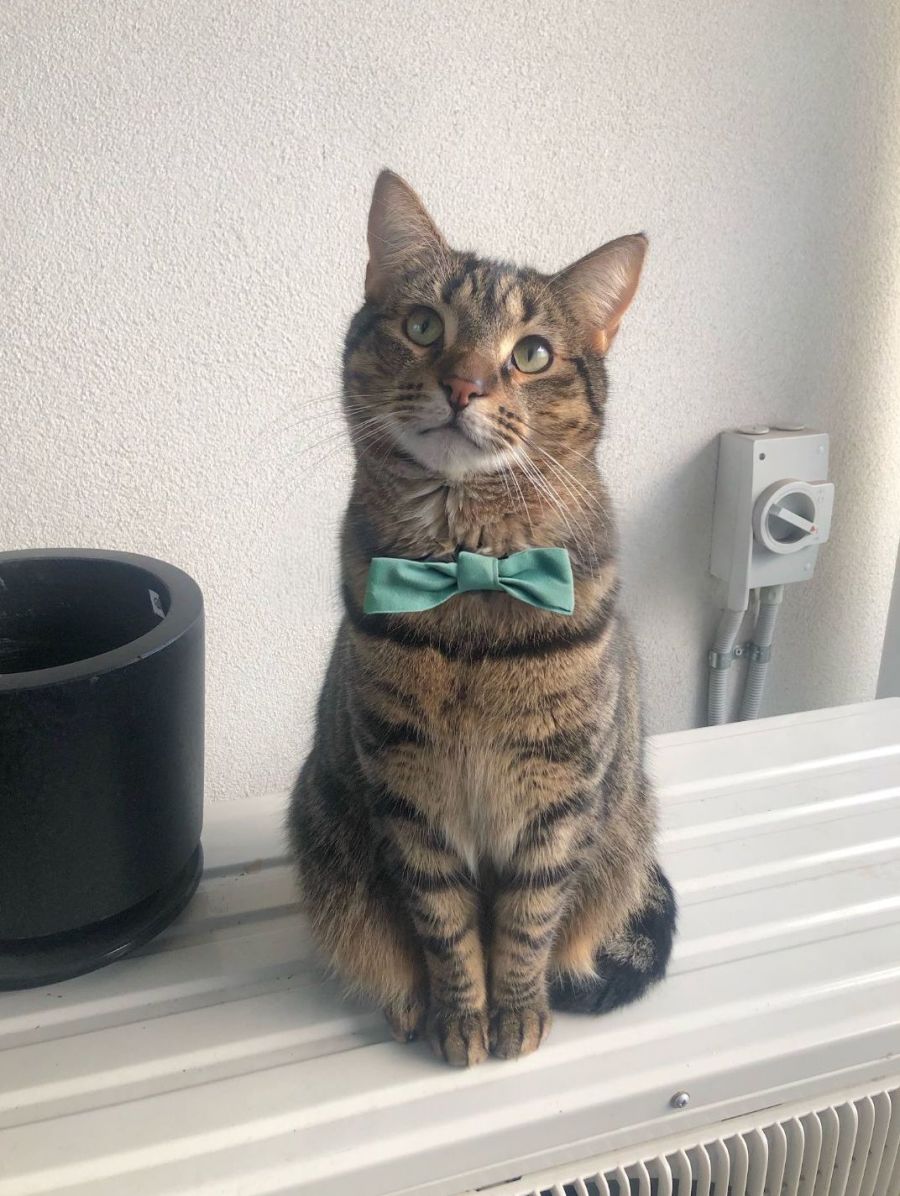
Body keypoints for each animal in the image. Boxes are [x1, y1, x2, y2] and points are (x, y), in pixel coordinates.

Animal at [288, 170, 676, 1066]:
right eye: (424, 325)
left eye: (531, 353)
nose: (464, 385)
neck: (468, 566)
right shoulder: (408, 790)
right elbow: (443, 924)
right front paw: (460, 1016)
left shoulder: (557, 798)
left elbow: (527, 924)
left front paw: (515, 1013)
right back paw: (406, 1003)